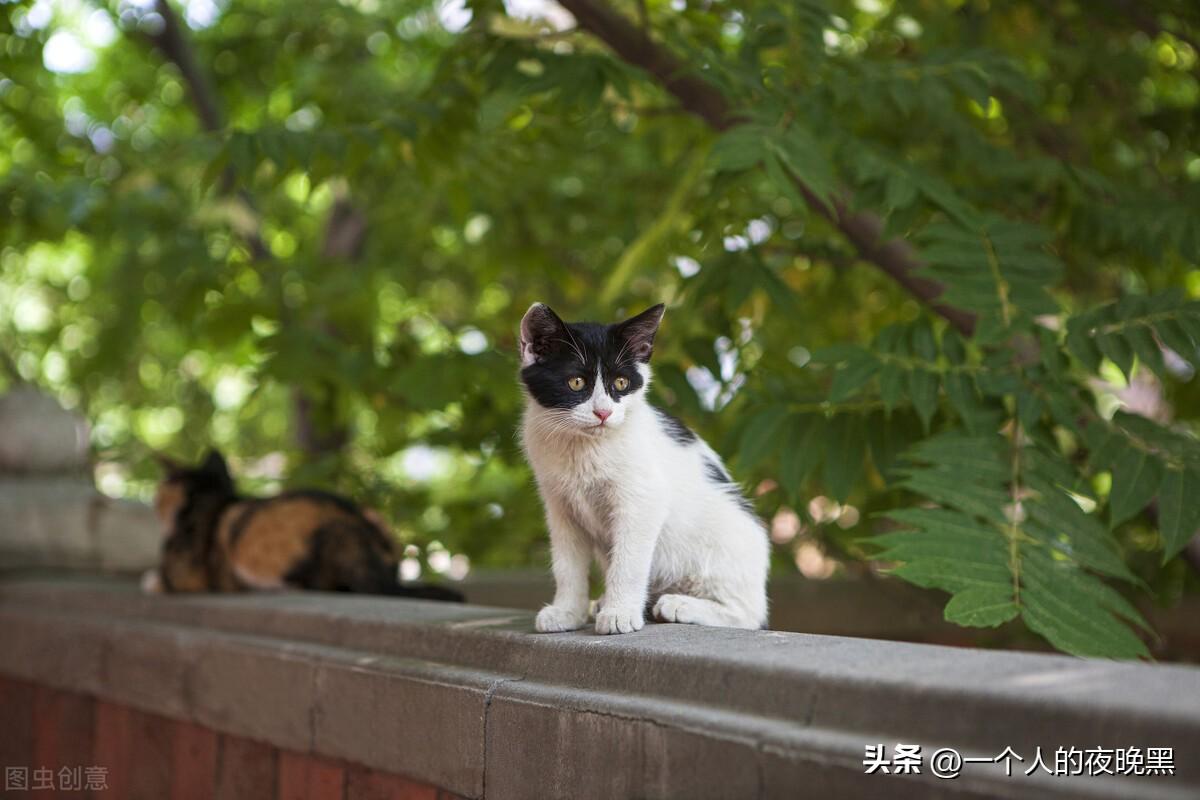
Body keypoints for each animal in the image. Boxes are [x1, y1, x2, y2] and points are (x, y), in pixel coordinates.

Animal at [144, 450, 463, 599]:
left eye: (159, 493)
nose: (154, 502)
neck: (212, 495)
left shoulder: (185, 575)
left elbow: (159, 579)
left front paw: (149, 580)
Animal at [518, 303, 768, 633]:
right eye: (576, 383)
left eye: (621, 384)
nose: (603, 412)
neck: (584, 448)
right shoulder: (560, 505)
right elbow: (567, 564)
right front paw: (567, 612)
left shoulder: (644, 499)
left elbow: (629, 561)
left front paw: (620, 614)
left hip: (723, 550)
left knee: (748, 614)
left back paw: (680, 605)